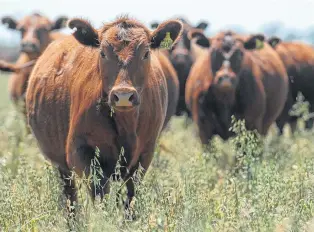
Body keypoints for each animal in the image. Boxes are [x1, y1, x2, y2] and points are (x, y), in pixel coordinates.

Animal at [26, 15, 184, 216]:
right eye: (102, 53)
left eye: (146, 53)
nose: (123, 95)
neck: (126, 125)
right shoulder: (80, 151)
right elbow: (100, 195)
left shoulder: (144, 154)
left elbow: (129, 200)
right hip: (60, 164)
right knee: (70, 197)